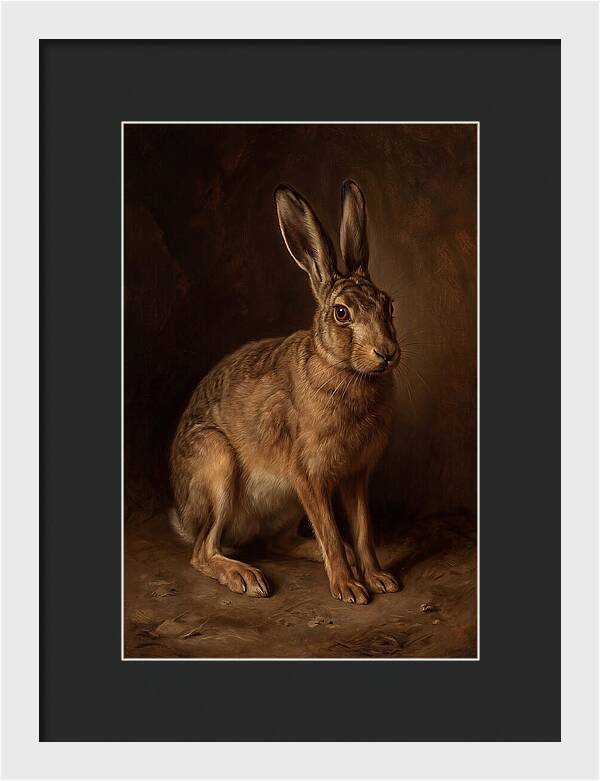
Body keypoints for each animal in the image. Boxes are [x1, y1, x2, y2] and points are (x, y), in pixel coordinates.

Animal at [169, 180, 400, 604]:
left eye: (389, 305)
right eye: (341, 313)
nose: (387, 353)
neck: (345, 369)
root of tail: (183, 515)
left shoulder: (356, 476)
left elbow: (363, 531)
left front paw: (378, 578)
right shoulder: (307, 475)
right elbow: (330, 530)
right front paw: (349, 589)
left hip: (285, 505)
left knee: (279, 543)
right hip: (216, 463)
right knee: (202, 551)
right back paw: (245, 577)